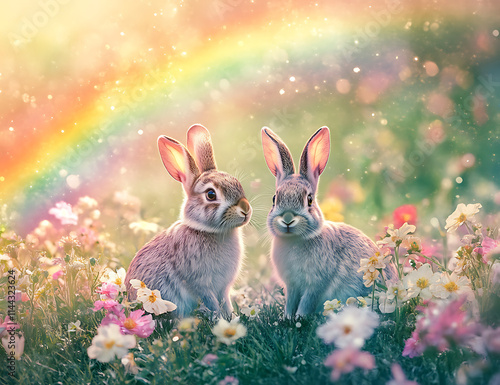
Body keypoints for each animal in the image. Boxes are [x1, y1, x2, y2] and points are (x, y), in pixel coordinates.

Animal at [124, 124, 250, 318]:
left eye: (237, 183)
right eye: (211, 194)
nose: (246, 210)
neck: (209, 231)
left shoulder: (223, 287)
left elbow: (226, 301)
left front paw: (233, 318)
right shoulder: (200, 283)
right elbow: (212, 302)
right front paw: (220, 319)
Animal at [262, 127, 394, 316]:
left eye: (309, 200)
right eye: (275, 199)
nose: (287, 219)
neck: (295, 241)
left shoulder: (316, 284)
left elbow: (306, 302)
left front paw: (299, 317)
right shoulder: (292, 285)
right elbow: (290, 302)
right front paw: (287, 317)